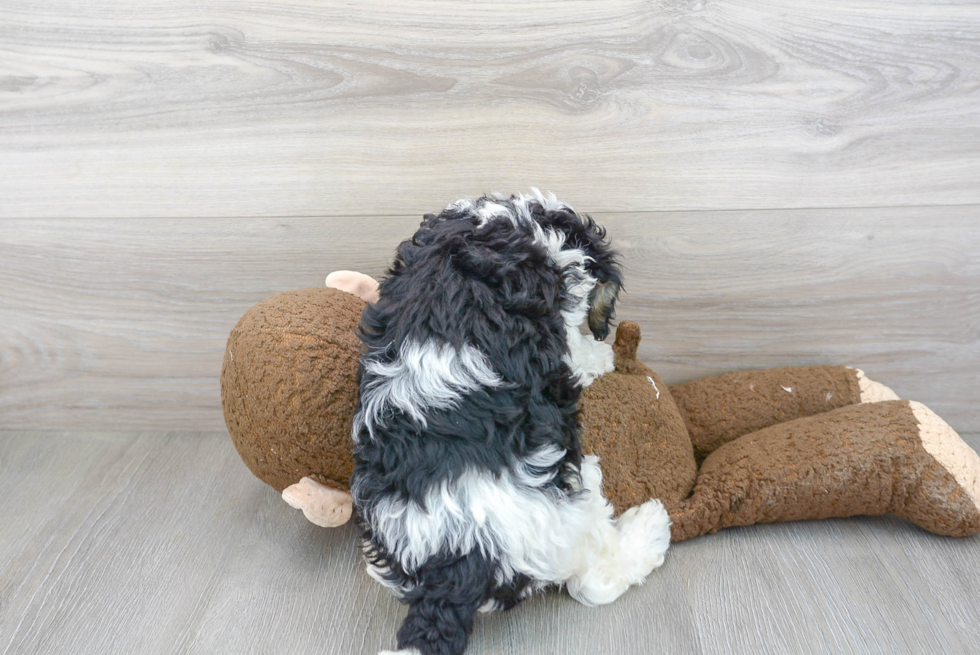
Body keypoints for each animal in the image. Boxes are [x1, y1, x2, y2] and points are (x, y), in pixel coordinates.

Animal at [348, 190, 668, 655]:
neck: (502, 223)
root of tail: (458, 557)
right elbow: (575, 343)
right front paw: (599, 357)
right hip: (563, 517)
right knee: (594, 576)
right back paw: (648, 526)